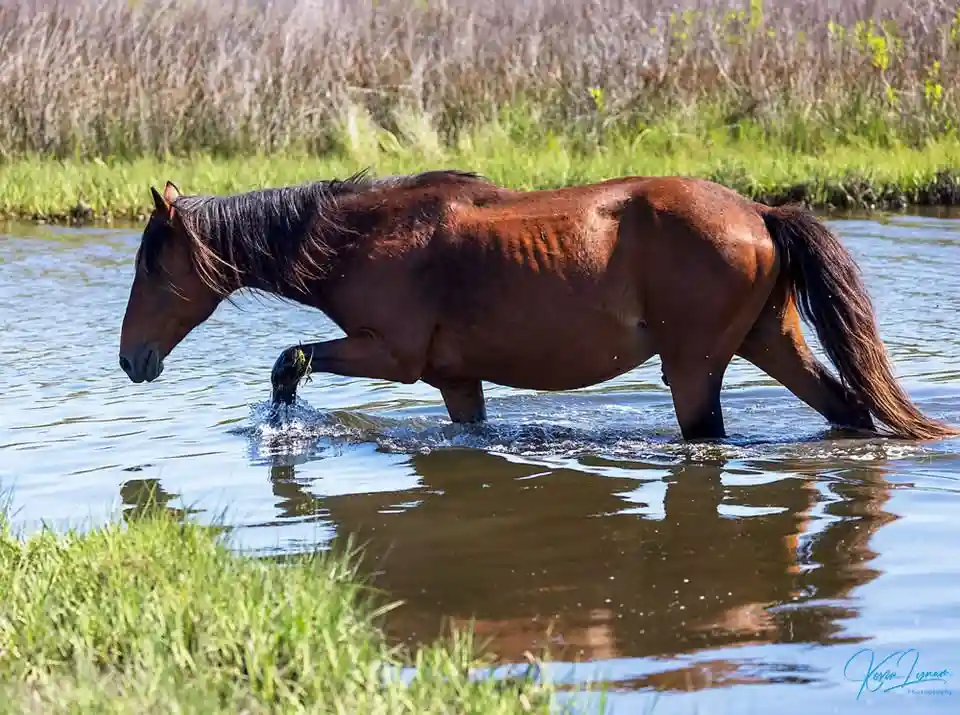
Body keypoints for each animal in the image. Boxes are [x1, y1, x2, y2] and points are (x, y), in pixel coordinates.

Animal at [117, 169, 958, 442]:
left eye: (152, 267)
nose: (132, 359)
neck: (362, 236)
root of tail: (758, 211)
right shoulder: (454, 379)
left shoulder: (390, 353)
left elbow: (288, 361)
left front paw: (283, 427)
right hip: (770, 339)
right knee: (847, 407)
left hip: (696, 366)